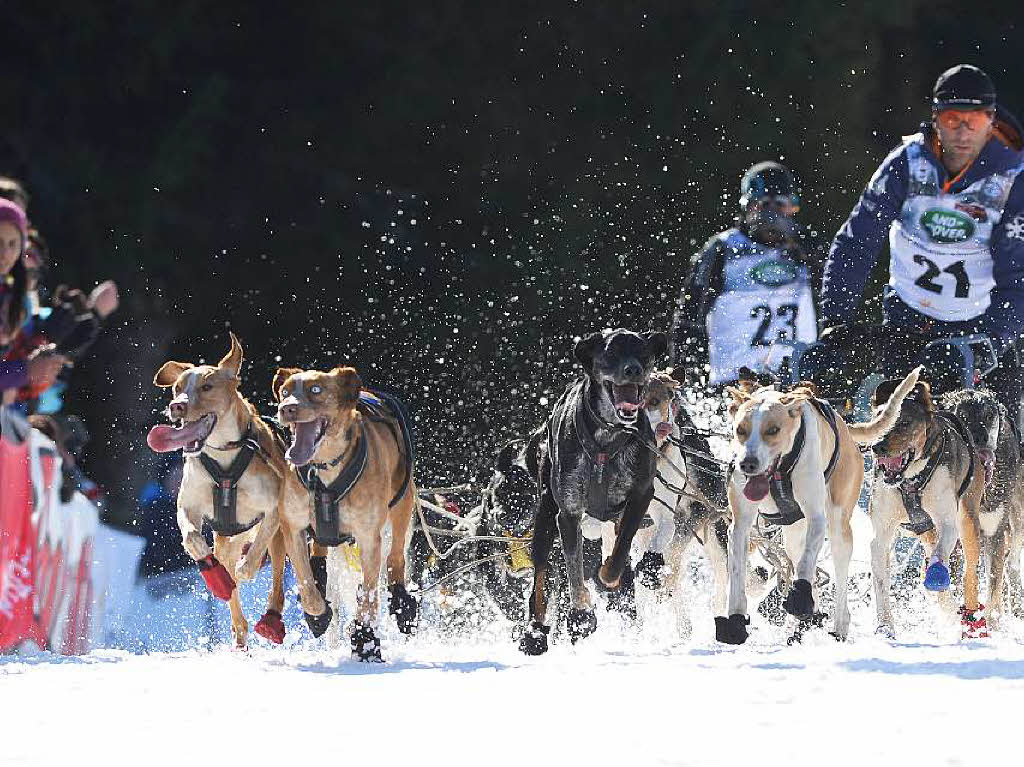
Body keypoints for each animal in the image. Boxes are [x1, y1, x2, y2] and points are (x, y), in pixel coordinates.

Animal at [148, 335, 329, 647]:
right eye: (178, 388)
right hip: (226, 540)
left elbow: (255, 555)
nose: (176, 406)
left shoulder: (273, 510)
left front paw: (247, 568)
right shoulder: (188, 506)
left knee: (276, 578)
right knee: (234, 601)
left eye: (207, 387)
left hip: (280, 539)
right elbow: (192, 538)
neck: (224, 456)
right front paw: (215, 574)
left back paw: (270, 618)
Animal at [274, 364, 417, 659]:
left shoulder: (369, 538)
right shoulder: (292, 527)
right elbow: (307, 584)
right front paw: (317, 614)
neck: (325, 468)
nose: (287, 408)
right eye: (284, 392)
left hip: (402, 507)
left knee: (395, 559)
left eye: (316, 389)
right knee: (320, 553)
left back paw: (401, 600)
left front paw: (365, 640)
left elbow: (369, 596)